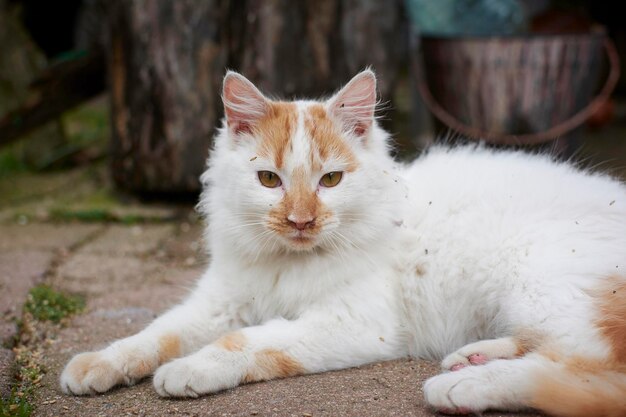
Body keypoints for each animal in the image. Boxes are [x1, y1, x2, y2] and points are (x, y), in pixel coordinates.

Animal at [61, 70, 624, 414]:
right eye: (269, 180)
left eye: (330, 180)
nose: (301, 220)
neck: (288, 261)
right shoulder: (219, 302)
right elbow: (155, 332)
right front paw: (97, 364)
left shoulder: (353, 323)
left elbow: (249, 341)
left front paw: (191, 369)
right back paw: (473, 358)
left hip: (540, 284)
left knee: (587, 372)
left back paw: (462, 386)